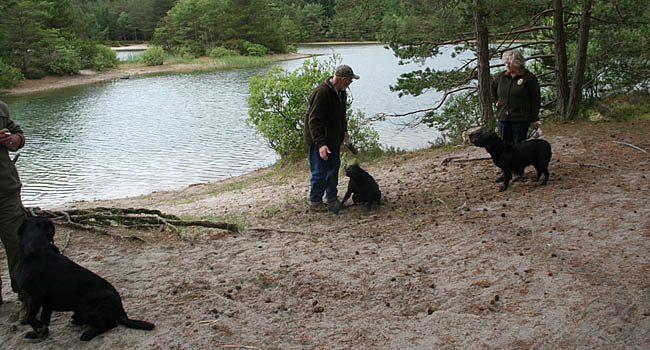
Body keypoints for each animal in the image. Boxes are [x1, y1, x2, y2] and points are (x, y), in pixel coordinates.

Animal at [13, 217, 156, 340]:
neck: (36, 249)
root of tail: (120, 308)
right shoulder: (47, 302)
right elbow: (44, 320)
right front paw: (39, 334)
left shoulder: (36, 296)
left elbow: (30, 318)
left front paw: (37, 327)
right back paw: (77, 321)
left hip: (86, 308)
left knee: (111, 325)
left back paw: (88, 334)